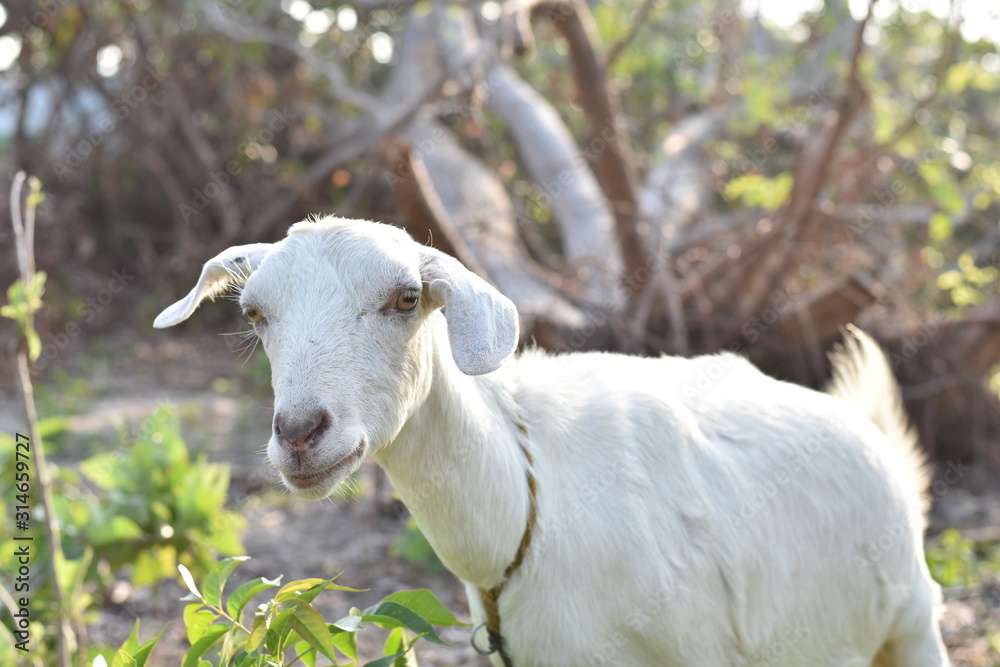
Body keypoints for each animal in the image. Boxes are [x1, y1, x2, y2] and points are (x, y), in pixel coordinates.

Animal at [155, 216, 950, 667]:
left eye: (406, 299)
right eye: (255, 314)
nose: (300, 432)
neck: (528, 509)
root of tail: (865, 422)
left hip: (913, 616)